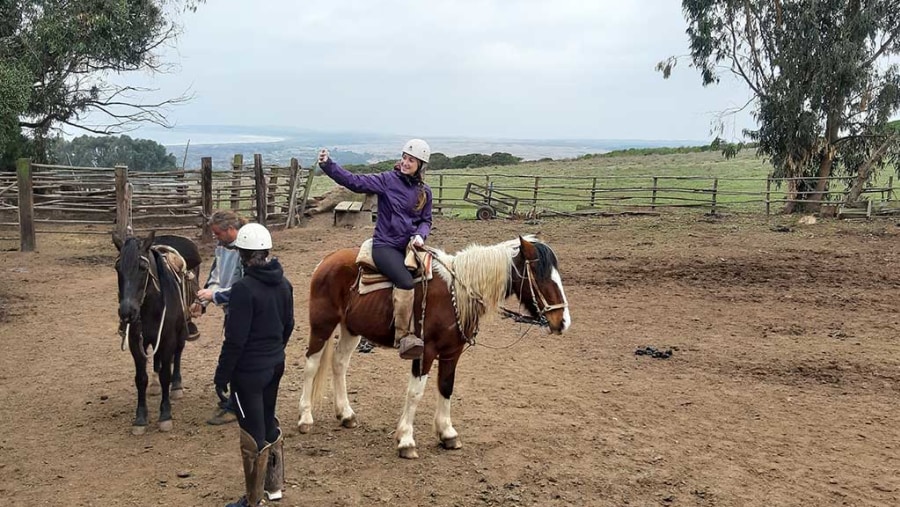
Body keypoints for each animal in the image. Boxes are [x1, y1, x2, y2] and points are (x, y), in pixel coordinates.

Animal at [111, 232, 200, 434]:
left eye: (143, 268)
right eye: (117, 268)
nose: (127, 312)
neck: (150, 307)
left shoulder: (168, 339)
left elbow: (166, 374)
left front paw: (165, 415)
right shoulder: (136, 343)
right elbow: (140, 378)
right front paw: (140, 418)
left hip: (180, 333)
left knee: (178, 354)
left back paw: (176, 386)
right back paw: (154, 384)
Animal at [298, 236, 572, 458]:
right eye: (541, 276)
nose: (563, 322)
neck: (456, 294)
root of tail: (326, 260)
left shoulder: (452, 353)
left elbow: (446, 387)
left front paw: (448, 434)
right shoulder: (425, 352)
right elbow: (415, 393)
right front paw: (406, 441)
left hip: (351, 329)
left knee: (339, 363)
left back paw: (346, 414)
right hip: (322, 324)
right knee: (311, 365)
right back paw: (305, 418)